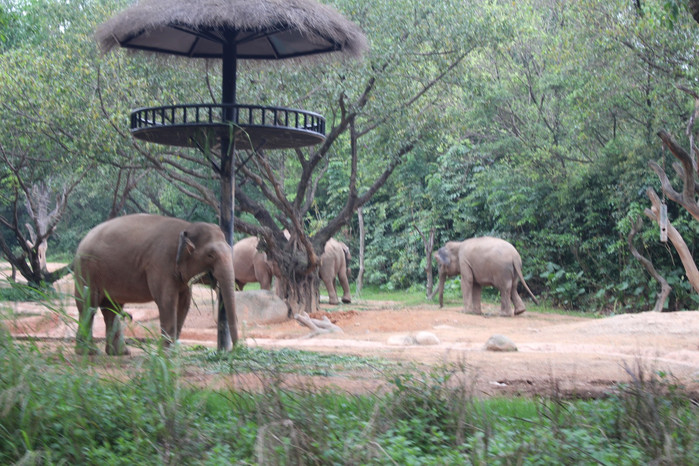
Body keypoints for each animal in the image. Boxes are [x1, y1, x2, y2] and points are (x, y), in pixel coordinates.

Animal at [73, 213, 238, 354]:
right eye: (210, 255)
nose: (235, 349)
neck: (186, 227)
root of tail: (83, 240)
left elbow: (184, 303)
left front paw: (173, 351)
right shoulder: (160, 262)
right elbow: (167, 301)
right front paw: (166, 353)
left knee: (112, 308)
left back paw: (120, 353)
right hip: (86, 269)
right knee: (89, 305)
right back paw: (89, 352)